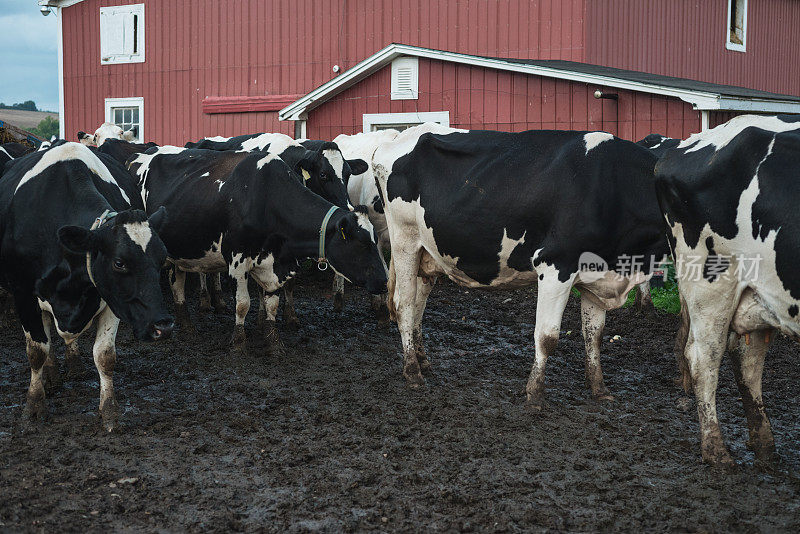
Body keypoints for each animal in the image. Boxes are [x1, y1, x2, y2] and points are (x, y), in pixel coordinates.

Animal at [0, 142, 174, 432]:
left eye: (162, 259)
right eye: (119, 262)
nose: (163, 326)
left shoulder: (112, 299)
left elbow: (105, 356)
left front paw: (110, 412)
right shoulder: (23, 293)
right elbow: (36, 351)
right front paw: (34, 407)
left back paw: (73, 364)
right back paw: (51, 375)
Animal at [127, 148, 388, 356]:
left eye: (374, 239)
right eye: (361, 242)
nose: (384, 281)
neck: (266, 197)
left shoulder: (274, 263)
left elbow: (271, 304)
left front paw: (273, 342)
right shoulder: (237, 262)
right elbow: (243, 304)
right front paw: (238, 343)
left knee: (177, 283)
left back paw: (186, 325)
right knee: (175, 285)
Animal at [376, 124, 668, 410]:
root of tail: (401, 134)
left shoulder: (596, 278)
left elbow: (593, 336)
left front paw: (600, 390)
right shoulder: (555, 265)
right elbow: (548, 336)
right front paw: (535, 394)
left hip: (427, 254)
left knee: (418, 306)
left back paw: (422, 361)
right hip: (404, 241)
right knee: (404, 305)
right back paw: (412, 372)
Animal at [656, 114, 800, 468]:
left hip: (760, 292)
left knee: (748, 361)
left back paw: (765, 448)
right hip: (710, 282)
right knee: (703, 357)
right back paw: (717, 452)